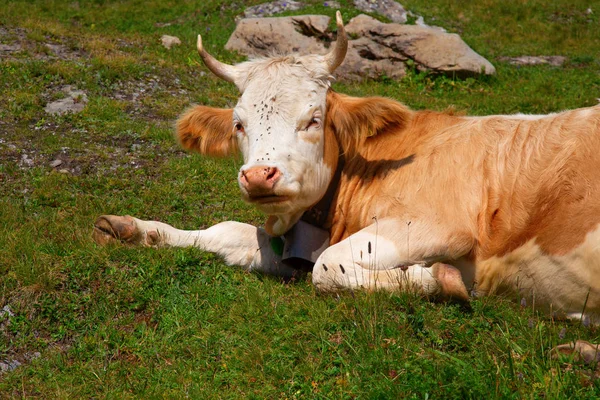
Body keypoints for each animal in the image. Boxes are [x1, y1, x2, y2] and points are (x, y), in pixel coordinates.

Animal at [94, 12, 600, 324]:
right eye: (239, 124)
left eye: (314, 118)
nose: (259, 176)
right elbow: (227, 233)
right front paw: (134, 229)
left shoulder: (441, 225)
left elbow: (328, 267)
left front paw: (436, 279)